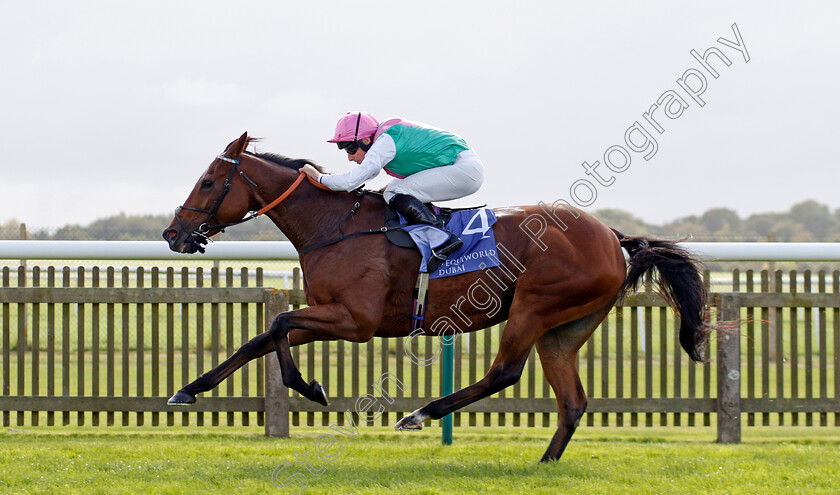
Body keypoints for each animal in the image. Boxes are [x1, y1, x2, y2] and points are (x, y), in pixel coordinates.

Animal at [161, 131, 704, 462]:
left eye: (208, 181)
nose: (173, 234)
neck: (335, 226)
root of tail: (613, 237)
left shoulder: (355, 321)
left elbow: (276, 326)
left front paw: (310, 388)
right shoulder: (332, 315)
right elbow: (260, 338)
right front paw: (188, 389)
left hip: (533, 307)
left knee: (504, 373)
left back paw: (419, 414)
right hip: (565, 328)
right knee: (572, 401)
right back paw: (545, 461)